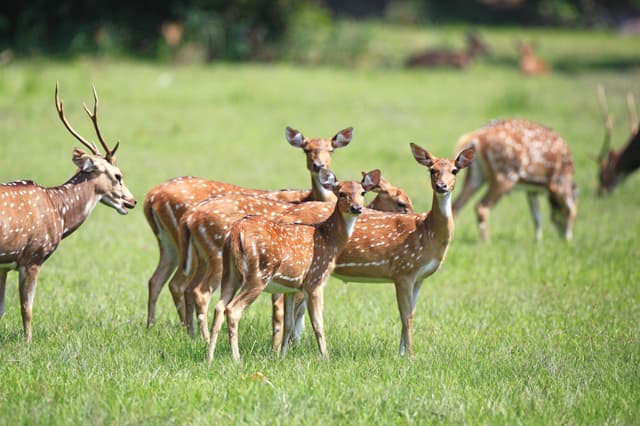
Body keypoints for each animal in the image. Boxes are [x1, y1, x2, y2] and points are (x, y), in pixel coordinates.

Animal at [0, 84, 135, 342]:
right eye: (118, 175)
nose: (132, 201)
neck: (57, 212)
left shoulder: (5, 264)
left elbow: (1, 309)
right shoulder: (33, 255)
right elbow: (27, 308)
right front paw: (28, 343)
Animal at [144, 125, 356, 328]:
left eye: (331, 150)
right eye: (306, 149)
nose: (318, 165)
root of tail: (151, 197)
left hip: (171, 244)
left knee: (159, 280)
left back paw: (159, 327)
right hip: (213, 255)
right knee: (190, 288)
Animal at [178, 171, 412, 342]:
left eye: (363, 192)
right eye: (400, 202)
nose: (358, 208)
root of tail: (189, 217)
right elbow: (294, 315)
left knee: (186, 287)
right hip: (219, 260)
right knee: (202, 292)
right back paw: (204, 340)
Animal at [208, 168, 380, 362]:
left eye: (362, 192)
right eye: (341, 193)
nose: (356, 208)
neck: (328, 239)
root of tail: (237, 232)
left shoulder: (290, 287)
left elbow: (289, 324)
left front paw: (281, 356)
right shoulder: (315, 279)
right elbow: (318, 324)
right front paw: (325, 358)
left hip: (230, 273)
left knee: (219, 307)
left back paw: (210, 357)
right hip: (259, 273)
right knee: (232, 310)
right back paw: (237, 360)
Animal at [450, 118, 580, 241]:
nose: (565, 239)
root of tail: (475, 136)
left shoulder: (532, 189)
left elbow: (537, 216)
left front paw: (538, 241)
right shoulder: (557, 183)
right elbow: (567, 209)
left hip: (476, 176)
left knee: (456, 206)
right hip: (504, 175)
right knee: (481, 207)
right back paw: (486, 242)